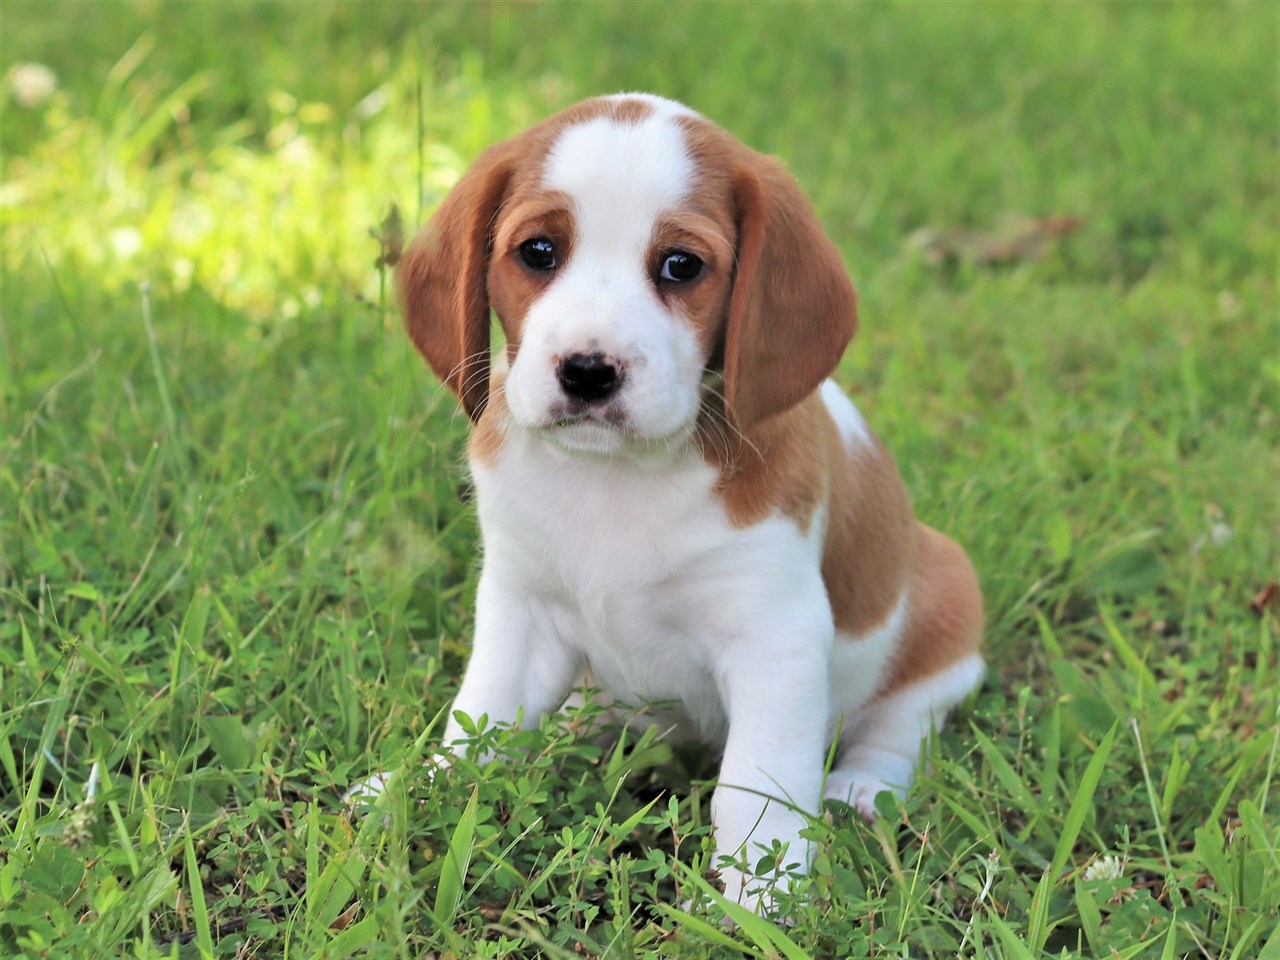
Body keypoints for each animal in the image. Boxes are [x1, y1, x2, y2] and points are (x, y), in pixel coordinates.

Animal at [384, 94, 983, 911]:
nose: (588, 370)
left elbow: (755, 785)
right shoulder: (521, 608)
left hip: (945, 599)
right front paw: (419, 792)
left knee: (900, 726)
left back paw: (860, 789)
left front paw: (757, 899)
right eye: (538, 252)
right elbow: (482, 720)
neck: (615, 479)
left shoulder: (774, 640)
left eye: (681, 265)